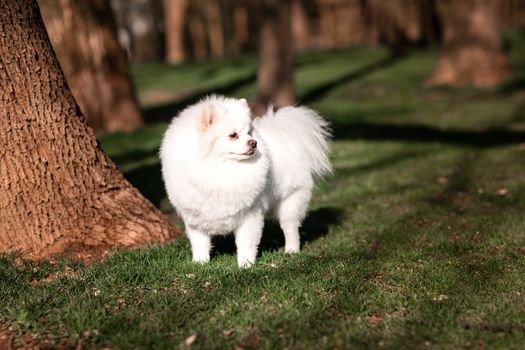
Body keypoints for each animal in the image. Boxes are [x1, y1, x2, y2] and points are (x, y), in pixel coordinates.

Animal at [161, 94, 332, 266]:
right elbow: (200, 243)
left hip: (290, 201)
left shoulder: (249, 215)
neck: (220, 169)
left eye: (249, 132)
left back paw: (291, 250)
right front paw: (200, 262)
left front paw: (245, 264)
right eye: (233, 135)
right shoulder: (195, 219)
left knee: (291, 228)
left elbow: (246, 242)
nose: (253, 142)